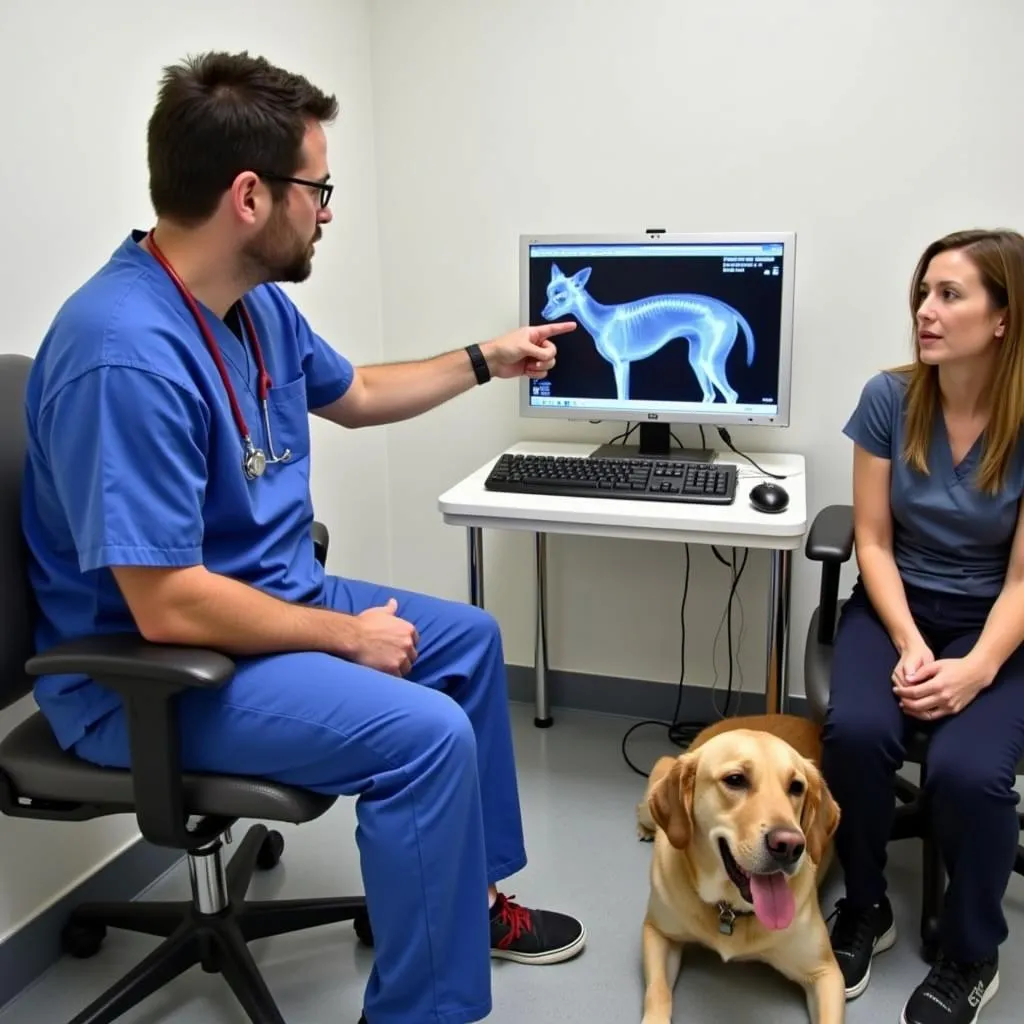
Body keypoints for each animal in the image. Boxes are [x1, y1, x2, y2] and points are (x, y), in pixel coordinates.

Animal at [634, 716, 843, 1019]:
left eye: (796, 787)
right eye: (735, 780)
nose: (790, 846)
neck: (730, 910)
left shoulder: (826, 972)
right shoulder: (658, 933)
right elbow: (658, 992)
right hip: (659, 778)